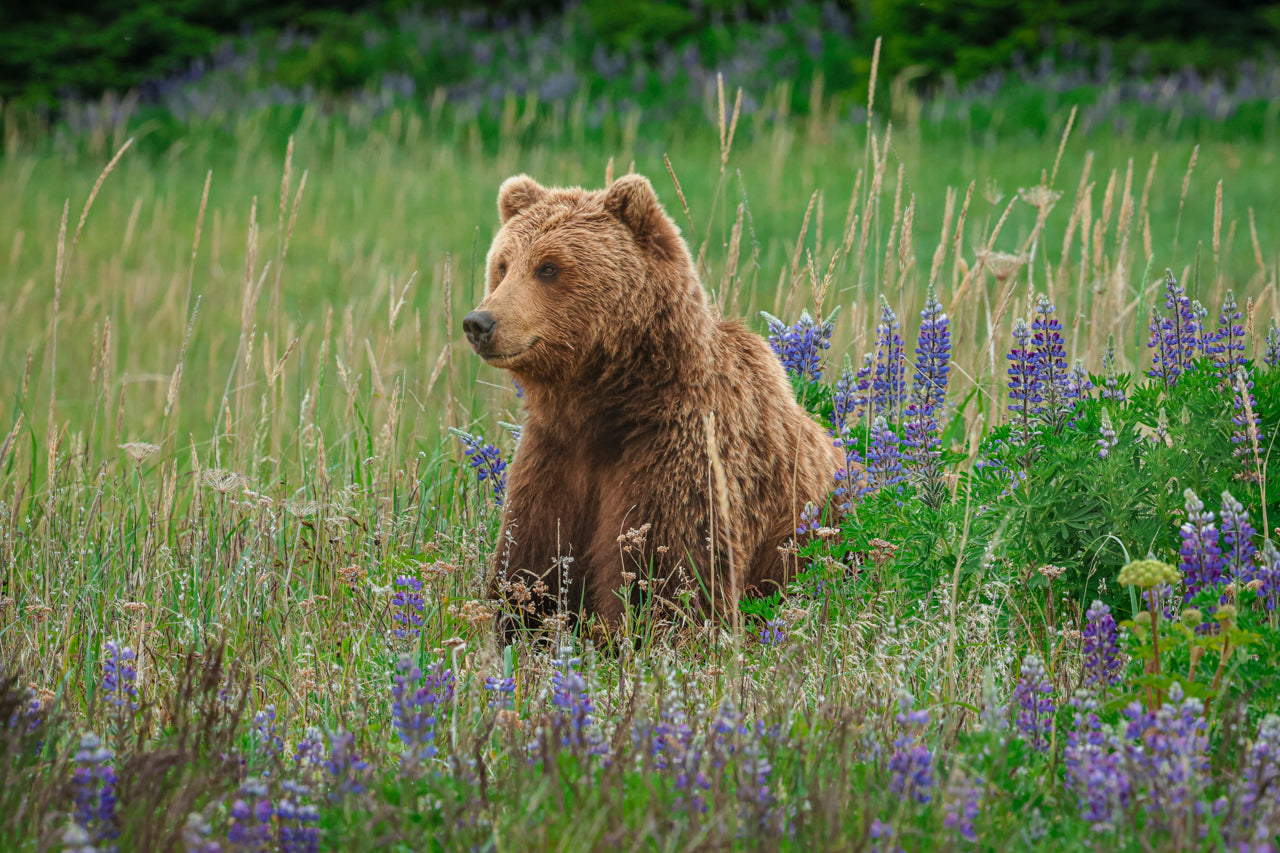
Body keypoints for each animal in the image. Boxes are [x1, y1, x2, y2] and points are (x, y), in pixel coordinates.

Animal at [463, 172, 843, 634]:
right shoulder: (553, 454)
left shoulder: (683, 451)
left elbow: (669, 571)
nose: (479, 322)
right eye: (502, 265)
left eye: (548, 267)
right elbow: (531, 560)